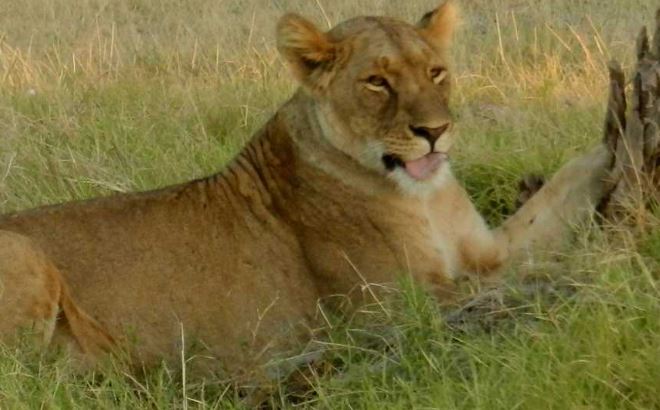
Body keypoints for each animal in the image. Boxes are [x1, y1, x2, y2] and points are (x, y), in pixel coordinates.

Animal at [0, 1, 620, 378]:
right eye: (377, 82)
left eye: (436, 72)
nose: (435, 131)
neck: (423, 198)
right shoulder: (392, 309)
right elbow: (521, 280)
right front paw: (600, 271)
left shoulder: (486, 249)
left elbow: (549, 206)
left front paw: (606, 149)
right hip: (25, 259)